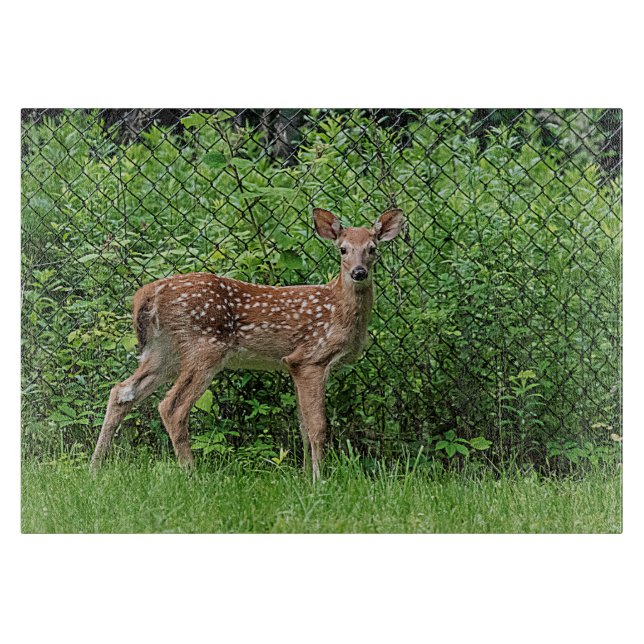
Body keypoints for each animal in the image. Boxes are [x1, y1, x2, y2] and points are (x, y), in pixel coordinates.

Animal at [91, 207, 405, 480]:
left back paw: (96, 466)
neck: (338, 309)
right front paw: (319, 480)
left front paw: (305, 478)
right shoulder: (311, 357)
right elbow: (318, 426)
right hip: (204, 347)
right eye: (343, 250)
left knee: (122, 391)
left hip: (164, 352)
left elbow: (302, 425)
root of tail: (149, 293)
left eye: (372, 249)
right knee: (171, 407)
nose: (359, 272)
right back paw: (191, 473)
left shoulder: (292, 365)